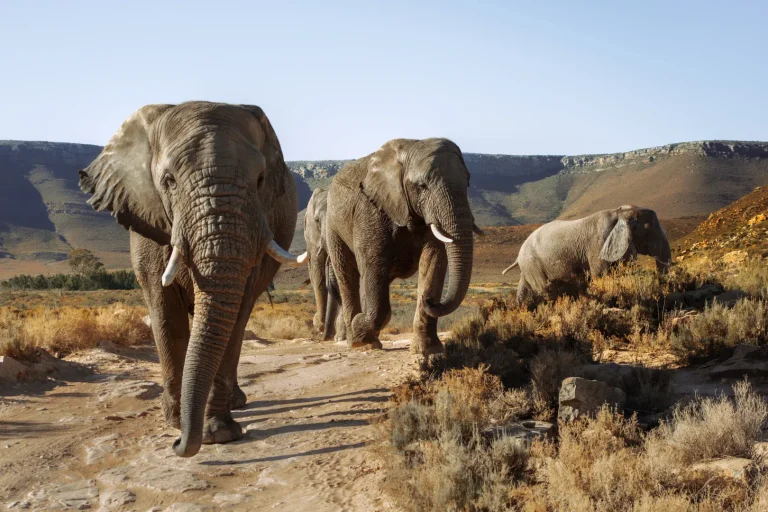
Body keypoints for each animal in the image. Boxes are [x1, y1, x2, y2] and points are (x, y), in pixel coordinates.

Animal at [79, 102, 306, 457]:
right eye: (168, 181)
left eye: (260, 180)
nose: (178, 445)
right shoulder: (150, 220)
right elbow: (166, 313)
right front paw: (174, 421)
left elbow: (234, 314)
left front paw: (217, 434)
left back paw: (236, 403)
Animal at [303, 187, 346, 341]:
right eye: (317, 220)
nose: (325, 336)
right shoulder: (312, 238)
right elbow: (317, 270)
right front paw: (320, 325)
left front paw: (340, 336)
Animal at [325, 138, 483, 355]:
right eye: (422, 186)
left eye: (467, 182)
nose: (430, 300)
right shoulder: (370, 212)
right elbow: (374, 265)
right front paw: (359, 327)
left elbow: (433, 261)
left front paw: (428, 350)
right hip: (333, 225)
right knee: (348, 275)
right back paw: (359, 342)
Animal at [502, 205, 672, 303]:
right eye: (648, 229)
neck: (620, 212)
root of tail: (518, 256)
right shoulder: (598, 244)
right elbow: (601, 274)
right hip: (533, 264)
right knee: (543, 289)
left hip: (528, 266)